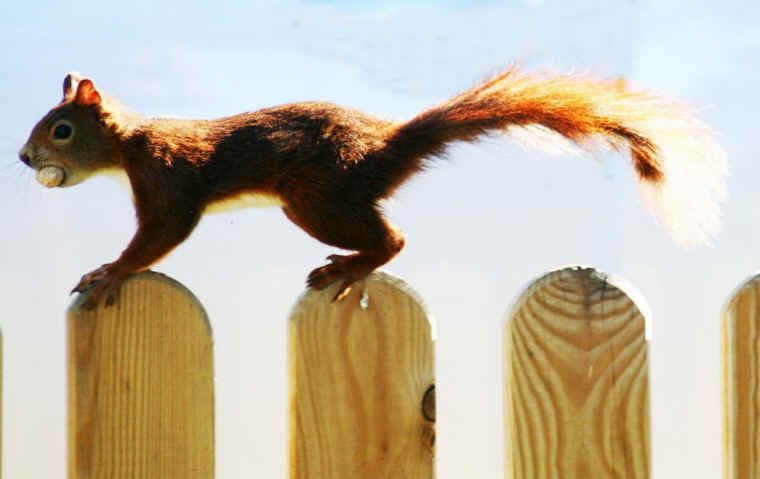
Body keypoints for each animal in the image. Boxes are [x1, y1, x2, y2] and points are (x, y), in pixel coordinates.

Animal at [19, 68, 726, 307]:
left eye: (61, 129)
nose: (25, 158)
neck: (130, 144)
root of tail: (385, 148)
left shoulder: (166, 180)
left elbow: (160, 235)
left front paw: (110, 272)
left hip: (317, 199)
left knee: (395, 239)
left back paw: (352, 267)